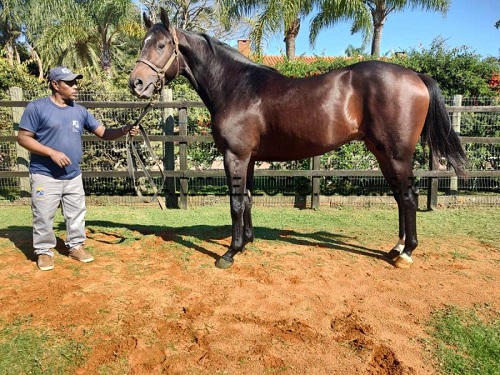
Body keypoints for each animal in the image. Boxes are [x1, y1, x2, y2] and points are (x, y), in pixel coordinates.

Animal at [128, 8, 464, 270]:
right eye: (143, 44)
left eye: (161, 45)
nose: (136, 83)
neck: (236, 86)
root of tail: (416, 76)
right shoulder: (249, 158)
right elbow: (247, 199)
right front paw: (247, 242)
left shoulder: (234, 155)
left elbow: (236, 202)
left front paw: (230, 253)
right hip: (382, 153)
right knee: (399, 196)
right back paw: (396, 248)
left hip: (396, 153)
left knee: (409, 196)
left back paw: (406, 253)